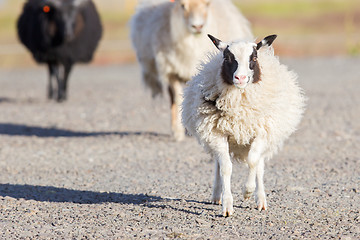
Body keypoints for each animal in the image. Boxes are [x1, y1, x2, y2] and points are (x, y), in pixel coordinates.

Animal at [130, 0, 253, 141]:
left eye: (207, 4)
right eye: (183, 5)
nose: (197, 26)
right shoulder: (171, 72)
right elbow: (177, 99)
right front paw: (177, 132)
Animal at [181, 34, 306, 217]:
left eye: (253, 58)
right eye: (227, 58)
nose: (240, 78)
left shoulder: (261, 132)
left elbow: (253, 161)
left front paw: (247, 192)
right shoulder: (217, 133)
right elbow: (225, 167)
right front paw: (227, 205)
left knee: (259, 164)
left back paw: (260, 200)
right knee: (219, 163)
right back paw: (217, 195)